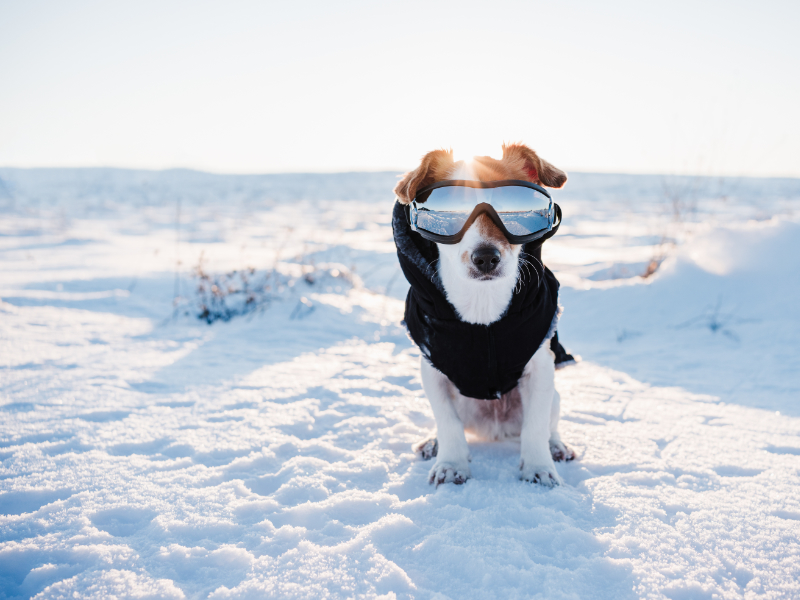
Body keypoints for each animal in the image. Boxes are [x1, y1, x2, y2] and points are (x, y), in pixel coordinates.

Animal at [394, 144, 576, 488]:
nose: (486, 258)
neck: (483, 314)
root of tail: (495, 428)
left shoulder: (541, 369)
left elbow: (535, 426)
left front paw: (539, 468)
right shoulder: (433, 370)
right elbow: (447, 422)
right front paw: (450, 464)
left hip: (556, 396)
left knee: (550, 424)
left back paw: (556, 447)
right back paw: (433, 443)